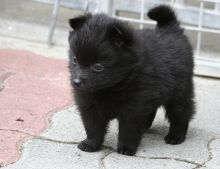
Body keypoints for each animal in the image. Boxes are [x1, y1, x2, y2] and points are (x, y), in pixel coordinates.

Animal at [68, 5, 194, 156]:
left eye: (98, 67)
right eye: (75, 60)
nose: (76, 82)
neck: (111, 87)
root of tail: (171, 29)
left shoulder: (134, 107)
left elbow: (128, 130)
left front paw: (126, 148)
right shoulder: (90, 106)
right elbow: (93, 127)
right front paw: (90, 143)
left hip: (180, 92)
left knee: (181, 113)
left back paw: (176, 136)